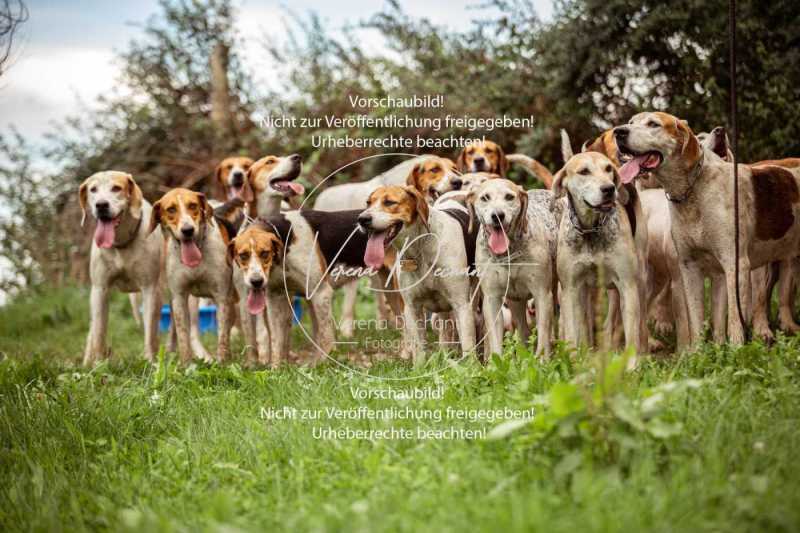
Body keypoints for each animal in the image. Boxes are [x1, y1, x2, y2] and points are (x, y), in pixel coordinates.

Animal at [80, 172, 163, 364]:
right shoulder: (99, 290)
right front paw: (99, 364)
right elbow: (99, 334)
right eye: (93, 189)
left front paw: (150, 362)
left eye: (116, 188)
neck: (121, 243)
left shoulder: (149, 289)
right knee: (92, 331)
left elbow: (150, 334)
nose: (101, 205)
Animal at [468, 177, 556, 356]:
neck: (508, 254)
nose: (497, 215)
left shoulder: (542, 294)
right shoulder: (492, 299)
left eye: (509, 197)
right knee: (523, 331)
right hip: (515, 301)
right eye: (485, 197)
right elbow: (495, 340)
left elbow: (543, 335)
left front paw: (542, 360)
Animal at [616, 112, 800, 344]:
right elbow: (695, 322)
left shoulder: (734, 266)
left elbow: (732, 321)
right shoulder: (689, 268)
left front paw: (736, 348)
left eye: (653, 124)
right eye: (630, 123)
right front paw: (697, 351)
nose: (618, 132)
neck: (694, 191)